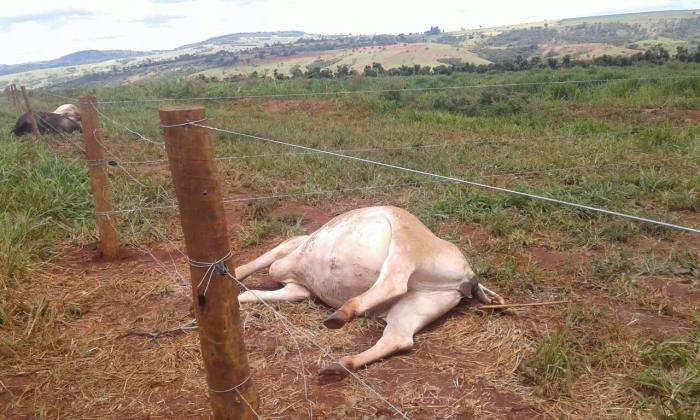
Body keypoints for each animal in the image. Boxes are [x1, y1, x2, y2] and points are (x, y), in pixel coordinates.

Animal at [237, 206, 504, 378]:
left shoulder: (292, 260)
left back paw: (341, 316)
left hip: (405, 242)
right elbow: (265, 290)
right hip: (417, 306)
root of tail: (471, 277)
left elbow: (271, 263)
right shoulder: (298, 287)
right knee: (398, 339)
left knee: (394, 281)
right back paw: (340, 365)